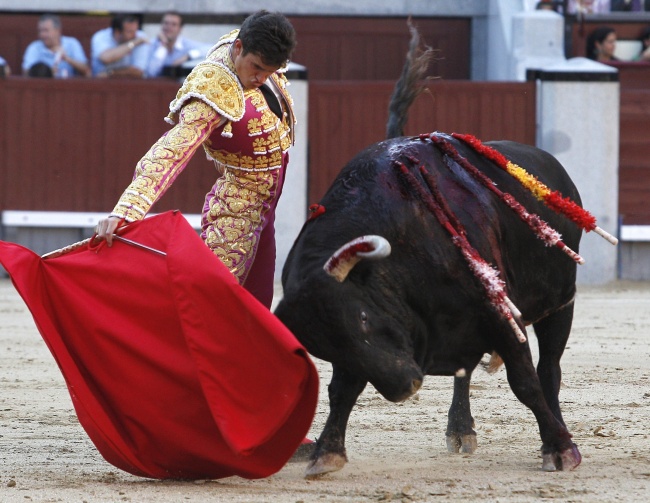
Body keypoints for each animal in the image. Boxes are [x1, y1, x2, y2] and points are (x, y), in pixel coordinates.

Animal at [274, 132, 584, 478]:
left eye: (364, 318)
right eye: (325, 350)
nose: (405, 387)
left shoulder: (497, 311)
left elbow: (526, 382)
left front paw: (559, 447)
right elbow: (342, 390)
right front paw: (327, 452)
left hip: (560, 305)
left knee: (548, 371)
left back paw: (559, 437)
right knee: (466, 373)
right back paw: (461, 429)